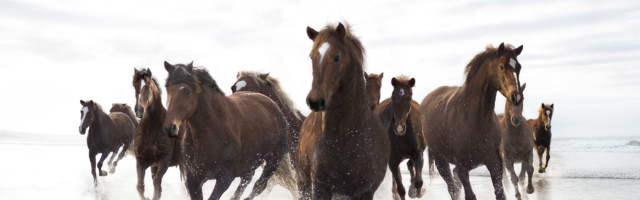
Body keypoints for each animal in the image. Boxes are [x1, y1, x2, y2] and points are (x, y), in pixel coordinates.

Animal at [131, 68, 184, 200]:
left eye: (148, 86)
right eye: (134, 84)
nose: (139, 111)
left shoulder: (164, 160)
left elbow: (156, 183)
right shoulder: (142, 161)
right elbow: (141, 187)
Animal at [162, 61, 290, 200]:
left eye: (187, 92)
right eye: (167, 89)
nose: (170, 127)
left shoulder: (225, 178)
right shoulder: (193, 179)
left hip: (273, 161)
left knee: (259, 185)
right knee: (246, 181)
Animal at [420, 43, 524, 199]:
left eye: (519, 67)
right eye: (501, 66)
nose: (516, 97)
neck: (475, 119)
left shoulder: (494, 163)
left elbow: (500, 194)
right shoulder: (462, 167)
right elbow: (469, 195)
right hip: (440, 161)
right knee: (452, 189)